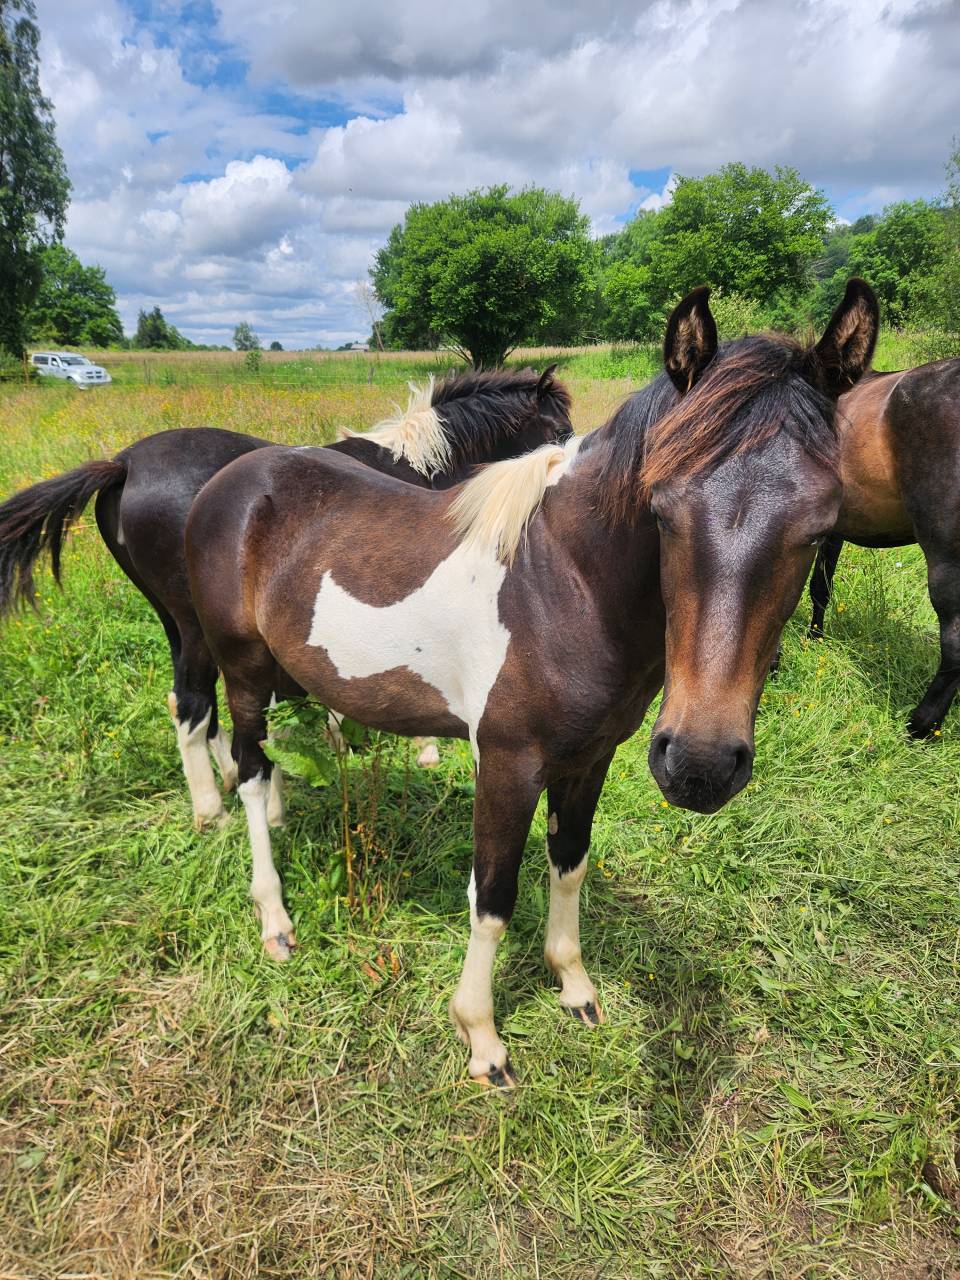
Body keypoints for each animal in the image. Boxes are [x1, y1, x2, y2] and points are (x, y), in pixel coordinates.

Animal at [0, 365, 573, 826]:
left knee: (199, 704)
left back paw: (234, 779)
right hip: (197, 623)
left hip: (177, 619)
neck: (414, 462)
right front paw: (422, 747)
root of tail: (123, 464)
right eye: (558, 428)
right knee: (192, 704)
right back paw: (212, 810)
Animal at [182, 279, 878, 1084]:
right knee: (248, 770)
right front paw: (481, 1037)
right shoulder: (509, 764)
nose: (701, 766)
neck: (563, 583)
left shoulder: (593, 757)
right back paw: (274, 917)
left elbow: (569, 862)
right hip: (242, 669)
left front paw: (573, 984)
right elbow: (493, 893)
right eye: (662, 510)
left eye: (820, 526)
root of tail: (229, 482)